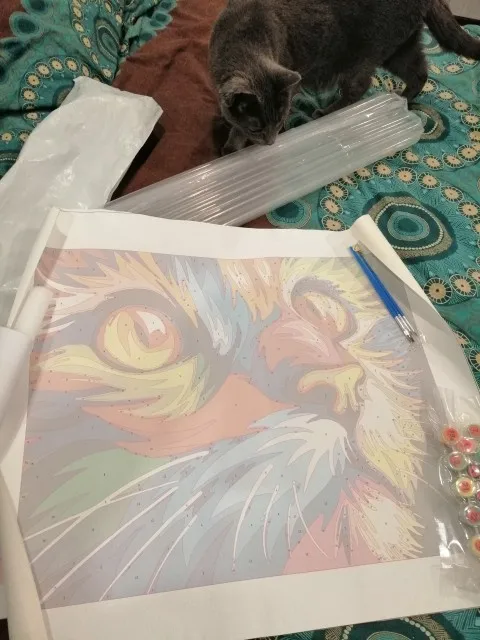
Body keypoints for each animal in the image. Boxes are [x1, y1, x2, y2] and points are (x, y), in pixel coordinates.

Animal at [209, 0, 480, 154]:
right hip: (400, 48)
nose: (270, 142)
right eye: (258, 127)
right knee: (420, 72)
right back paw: (402, 98)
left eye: (278, 122)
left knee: (359, 87)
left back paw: (327, 112)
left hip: (361, 58)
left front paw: (232, 145)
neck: (245, 36)